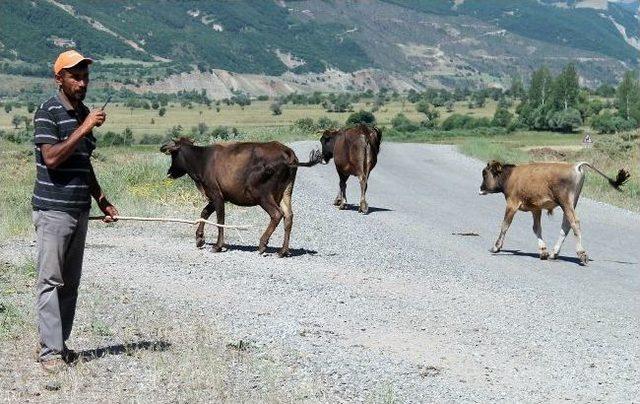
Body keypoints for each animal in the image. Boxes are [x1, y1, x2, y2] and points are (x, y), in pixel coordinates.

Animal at [160, 137, 320, 258]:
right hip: (286, 192)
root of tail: (287, 153)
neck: (202, 161)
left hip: (262, 194)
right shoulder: (220, 196)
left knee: (277, 214)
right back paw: (283, 251)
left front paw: (217, 246)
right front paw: (199, 238)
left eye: (173, 155)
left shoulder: (216, 194)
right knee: (289, 216)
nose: (169, 172)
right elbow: (204, 212)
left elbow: (220, 220)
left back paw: (262, 244)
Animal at [480, 161, 632, 266]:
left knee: (574, 223)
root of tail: (575, 165)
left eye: (485, 174)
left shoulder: (512, 204)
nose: (481, 188)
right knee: (566, 225)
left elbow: (505, 225)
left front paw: (496, 247)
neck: (511, 176)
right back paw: (554, 253)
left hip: (566, 202)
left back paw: (581, 253)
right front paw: (543, 251)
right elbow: (536, 228)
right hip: (571, 203)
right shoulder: (536, 208)